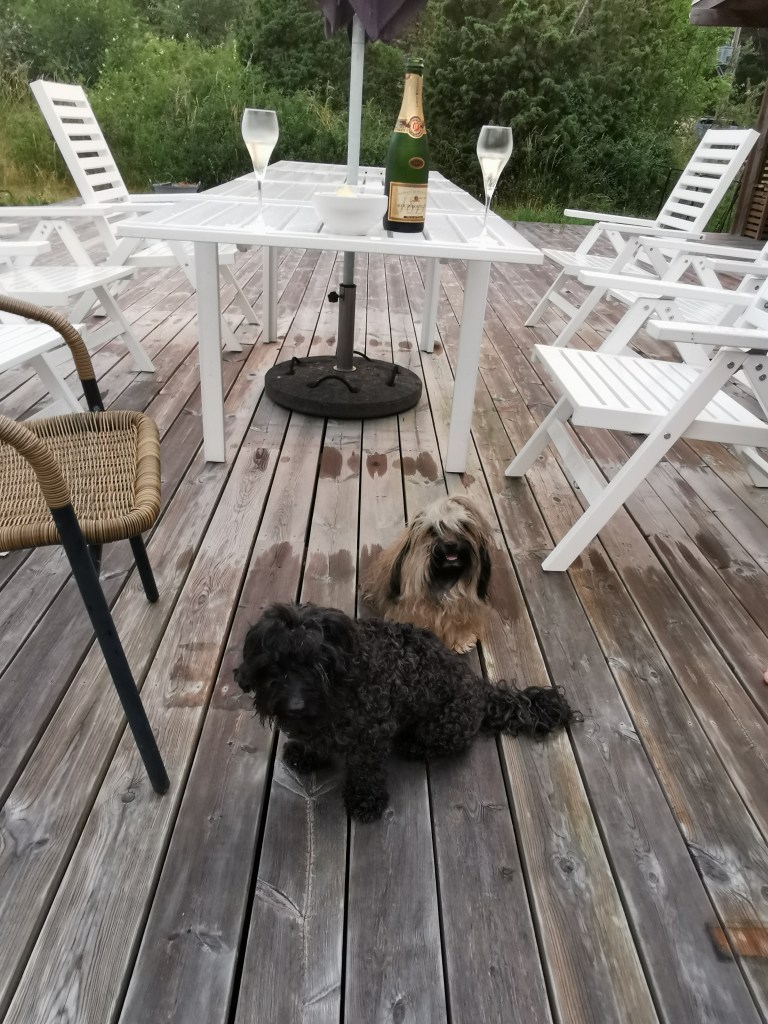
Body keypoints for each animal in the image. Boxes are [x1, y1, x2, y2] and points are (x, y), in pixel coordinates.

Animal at [235, 602, 577, 822]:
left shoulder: (371, 736)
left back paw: (412, 746)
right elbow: (317, 741)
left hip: (444, 725)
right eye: (275, 665)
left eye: (318, 666)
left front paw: (366, 801)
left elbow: (366, 771)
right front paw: (306, 754)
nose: (295, 705)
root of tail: (479, 688)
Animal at [361, 494, 493, 653]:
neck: (444, 577)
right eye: (433, 530)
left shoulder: (462, 607)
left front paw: (461, 640)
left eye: (463, 526)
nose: (450, 544)